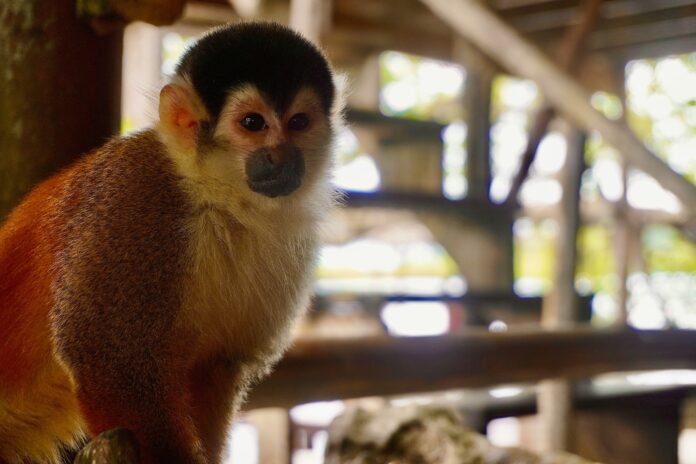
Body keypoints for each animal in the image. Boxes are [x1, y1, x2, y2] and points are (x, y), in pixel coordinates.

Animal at [0, 21, 339, 464]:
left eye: (299, 121)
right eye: (253, 123)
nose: (281, 157)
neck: (218, 200)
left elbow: (215, 367)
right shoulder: (133, 202)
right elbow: (113, 361)